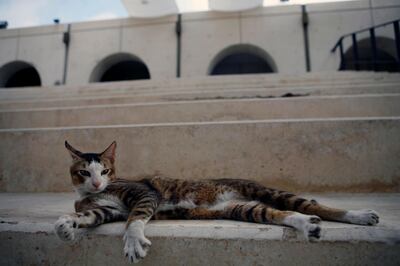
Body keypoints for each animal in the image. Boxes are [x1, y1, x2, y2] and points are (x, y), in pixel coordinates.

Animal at [54, 142, 380, 262]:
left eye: (105, 171)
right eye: (84, 172)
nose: (97, 183)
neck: (95, 194)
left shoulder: (144, 196)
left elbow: (135, 220)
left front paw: (133, 242)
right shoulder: (107, 212)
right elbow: (88, 217)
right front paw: (66, 225)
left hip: (266, 192)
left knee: (312, 205)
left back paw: (361, 215)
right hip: (245, 209)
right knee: (284, 214)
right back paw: (307, 226)